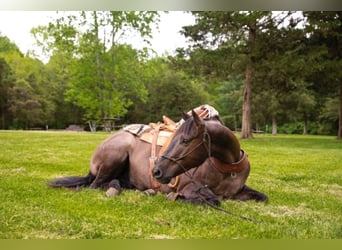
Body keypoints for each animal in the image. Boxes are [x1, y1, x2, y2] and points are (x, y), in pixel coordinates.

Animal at [48, 105, 268, 205]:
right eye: (175, 137)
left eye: (185, 140)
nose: (157, 171)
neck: (227, 168)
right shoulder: (190, 188)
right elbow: (214, 200)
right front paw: (175, 196)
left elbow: (263, 197)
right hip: (114, 158)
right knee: (96, 185)